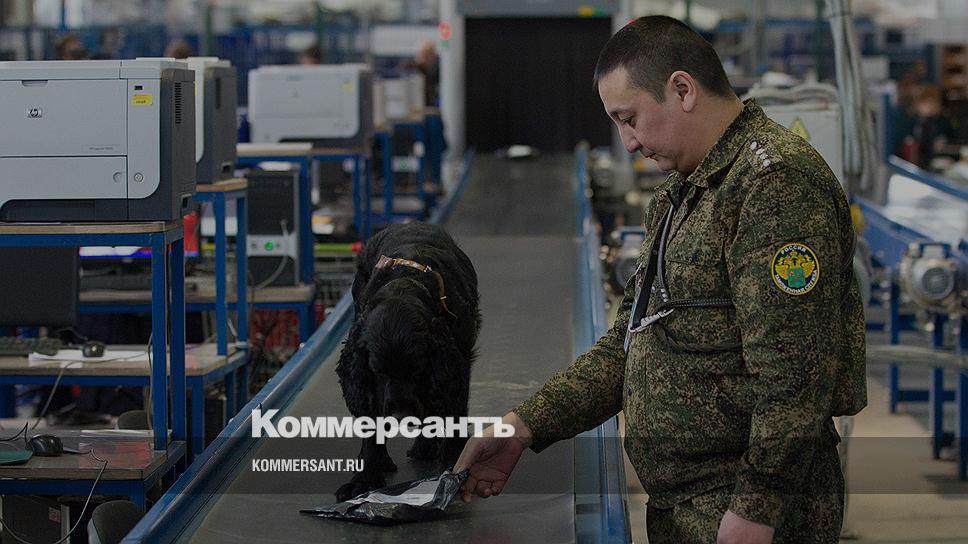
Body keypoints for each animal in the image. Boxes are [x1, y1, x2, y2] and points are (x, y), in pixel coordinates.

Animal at [334, 223, 481, 501]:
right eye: (379, 373)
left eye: (417, 370)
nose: (401, 416)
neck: (405, 284)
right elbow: (371, 426)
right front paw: (365, 477)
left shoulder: (455, 366)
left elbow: (452, 414)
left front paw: (454, 464)